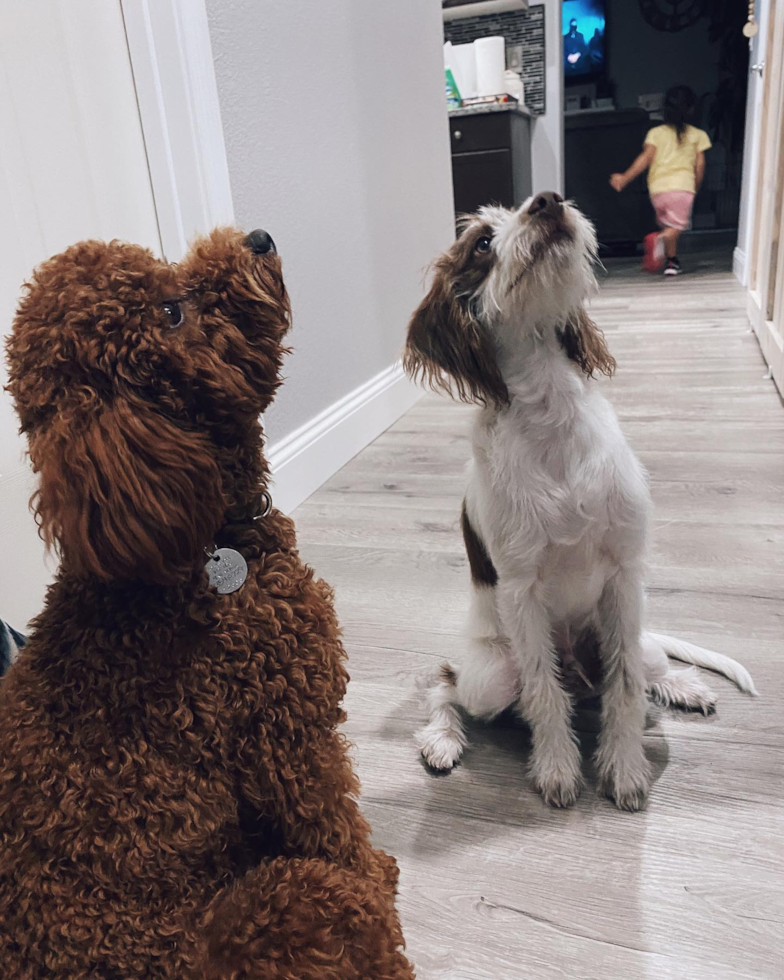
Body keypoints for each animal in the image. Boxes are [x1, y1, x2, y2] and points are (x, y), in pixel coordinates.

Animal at [1, 230, 416, 980]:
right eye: (171, 311)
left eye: (165, 269)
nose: (258, 239)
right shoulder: (287, 737)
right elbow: (338, 834)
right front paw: (377, 869)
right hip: (288, 904)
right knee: (340, 902)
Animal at [402, 191, 756, 812]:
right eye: (482, 243)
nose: (546, 201)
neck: (550, 414)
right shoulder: (522, 592)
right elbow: (545, 694)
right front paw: (558, 769)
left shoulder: (625, 574)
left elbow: (625, 688)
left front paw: (625, 766)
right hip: (492, 674)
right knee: (448, 684)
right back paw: (442, 739)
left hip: (638, 639)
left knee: (641, 670)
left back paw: (683, 686)